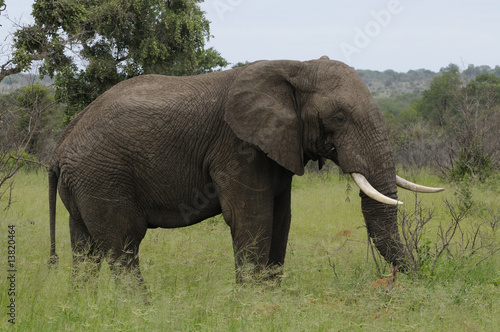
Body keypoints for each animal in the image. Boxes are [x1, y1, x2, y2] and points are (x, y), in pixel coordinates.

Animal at [48, 55, 444, 284]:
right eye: (340, 118)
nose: (402, 282)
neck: (294, 66)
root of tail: (60, 147)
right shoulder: (237, 148)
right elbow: (252, 218)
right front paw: (252, 302)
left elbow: (280, 218)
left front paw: (270, 299)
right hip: (104, 175)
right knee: (123, 244)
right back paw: (140, 310)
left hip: (85, 182)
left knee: (85, 248)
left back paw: (87, 306)